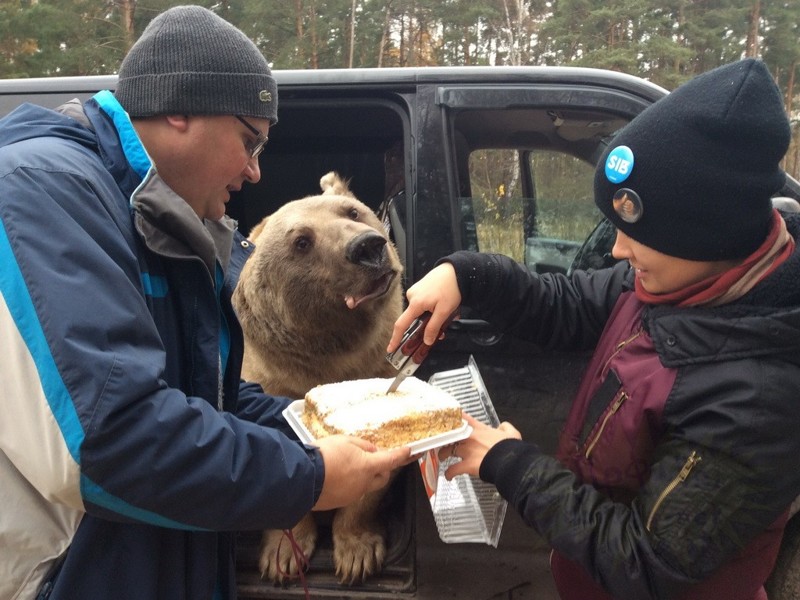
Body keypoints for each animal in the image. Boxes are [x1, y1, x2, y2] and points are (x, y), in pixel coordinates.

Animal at [233, 171, 406, 584]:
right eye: (302, 241)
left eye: (352, 211)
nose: (367, 246)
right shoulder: (269, 377)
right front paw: (282, 556)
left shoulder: (382, 361)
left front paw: (357, 553)